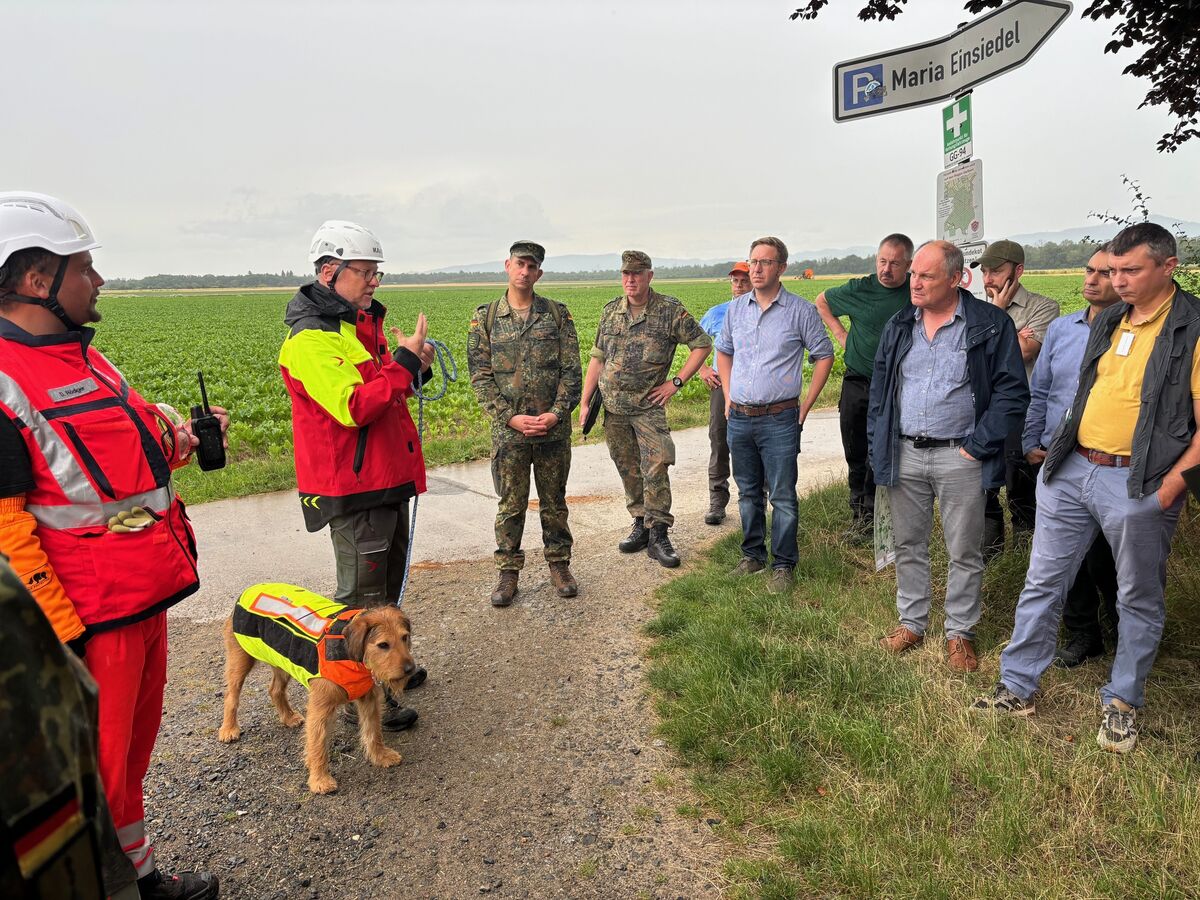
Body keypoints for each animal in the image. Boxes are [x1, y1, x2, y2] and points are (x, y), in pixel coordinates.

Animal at [216, 580, 417, 792]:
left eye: (404, 637)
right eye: (383, 645)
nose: (410, 669)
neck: (350, 654)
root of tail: (250, 588)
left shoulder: (368, 699)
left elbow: (373, 730)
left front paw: (380, 755)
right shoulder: (321, 708)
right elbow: (318, 743)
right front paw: (320, 780)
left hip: (283, 660)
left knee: (275, 690)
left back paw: (288, 717)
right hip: (240, 659)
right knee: (231, 696)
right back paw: (229, 729)